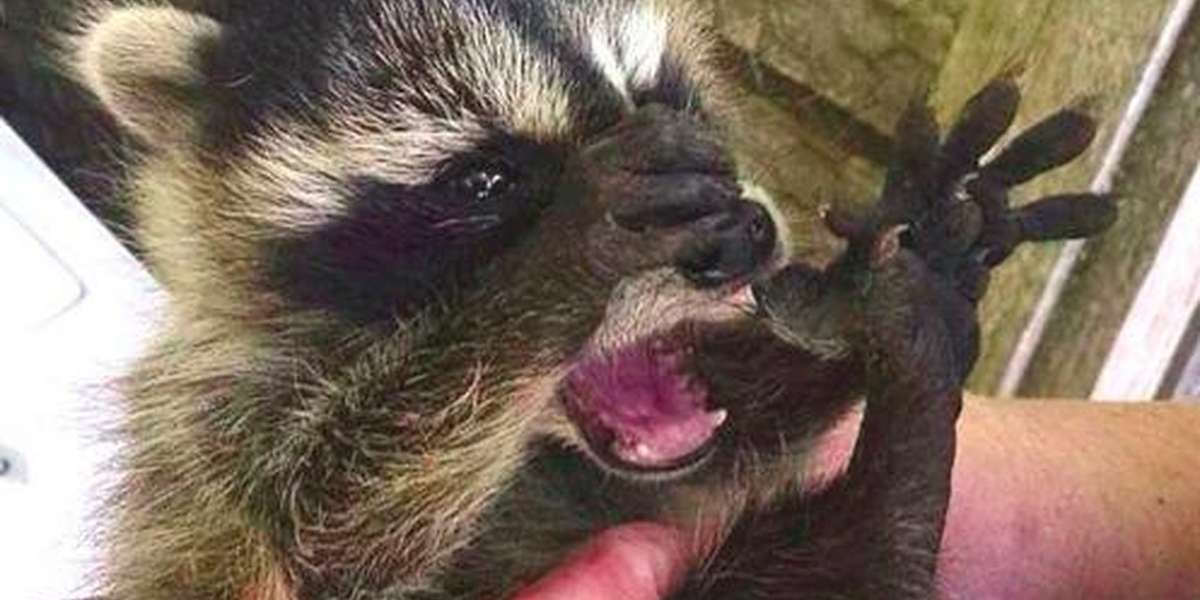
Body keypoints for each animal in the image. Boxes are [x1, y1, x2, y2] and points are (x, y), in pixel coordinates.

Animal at [58, 1, 1114, 598]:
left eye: (666, 95)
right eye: (485, 182)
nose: (746, 238)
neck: (533, 449)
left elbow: (749, 416)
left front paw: (880, 275)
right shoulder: (207, 439)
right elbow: (325, 520)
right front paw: (568, 248)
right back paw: (897, 469)